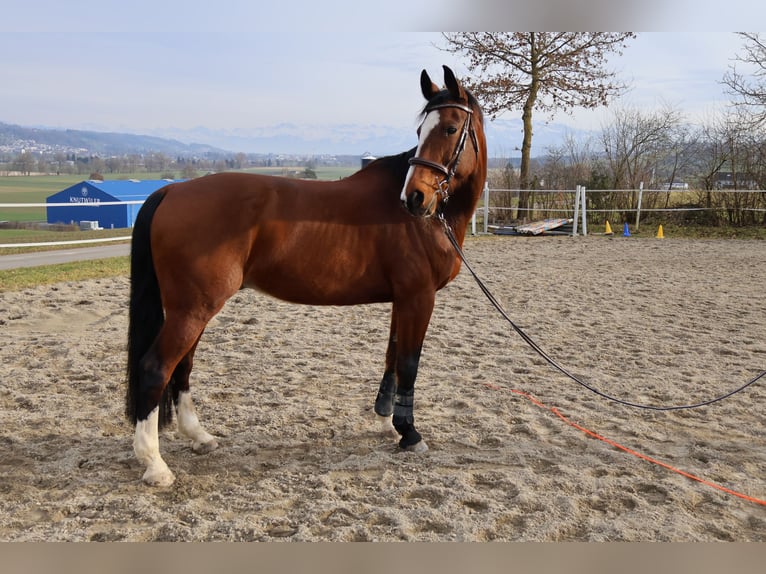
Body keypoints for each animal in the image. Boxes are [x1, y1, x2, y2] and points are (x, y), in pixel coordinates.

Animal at [125, 65, 486, 486]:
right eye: (420, 131)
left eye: (449, 128)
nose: (413, 198)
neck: (426, 221)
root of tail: (171, 190)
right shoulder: (419, 297)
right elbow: (409, 362)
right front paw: (410, 434)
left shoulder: (403, 299)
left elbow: (392, 356)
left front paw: (387, 421)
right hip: (192, 310)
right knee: (156, 368)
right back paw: (155, 464)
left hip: (190, 310)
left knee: (182, 368)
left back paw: (199, 437)